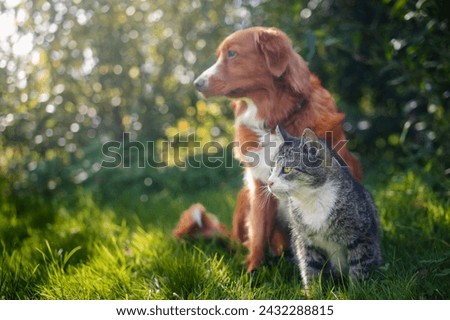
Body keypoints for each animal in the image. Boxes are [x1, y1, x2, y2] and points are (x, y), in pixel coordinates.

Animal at [193, 28, 362, 272]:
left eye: (232, 54)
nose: (196, 83)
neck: (273, 122)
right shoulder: (259, 186)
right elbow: (258, 235)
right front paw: (253, 271)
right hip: (244, 196)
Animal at [268, 126, 382, 292]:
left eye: (287, 169)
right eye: (272, 168)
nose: (269, 182)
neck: (311, 200)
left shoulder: (361, 234)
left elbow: (359, 265)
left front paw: (357, 291)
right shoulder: (306, 242)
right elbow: (311, 268)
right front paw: (313, 293)